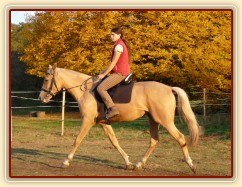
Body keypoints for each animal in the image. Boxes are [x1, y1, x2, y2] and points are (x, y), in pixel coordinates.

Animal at [38, 63, 199, 173]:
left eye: (46, 79)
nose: (41, 98)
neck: (86, 90)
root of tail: (169, 88)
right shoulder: (104, 123)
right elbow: (114, 142)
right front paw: (128, 162)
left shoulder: (87, 120)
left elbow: (77, 140)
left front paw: (66, 161)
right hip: (153, 120)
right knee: (154, 141)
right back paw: (138, 164)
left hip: (165, 121)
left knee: (180, 138)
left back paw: (191, 165)